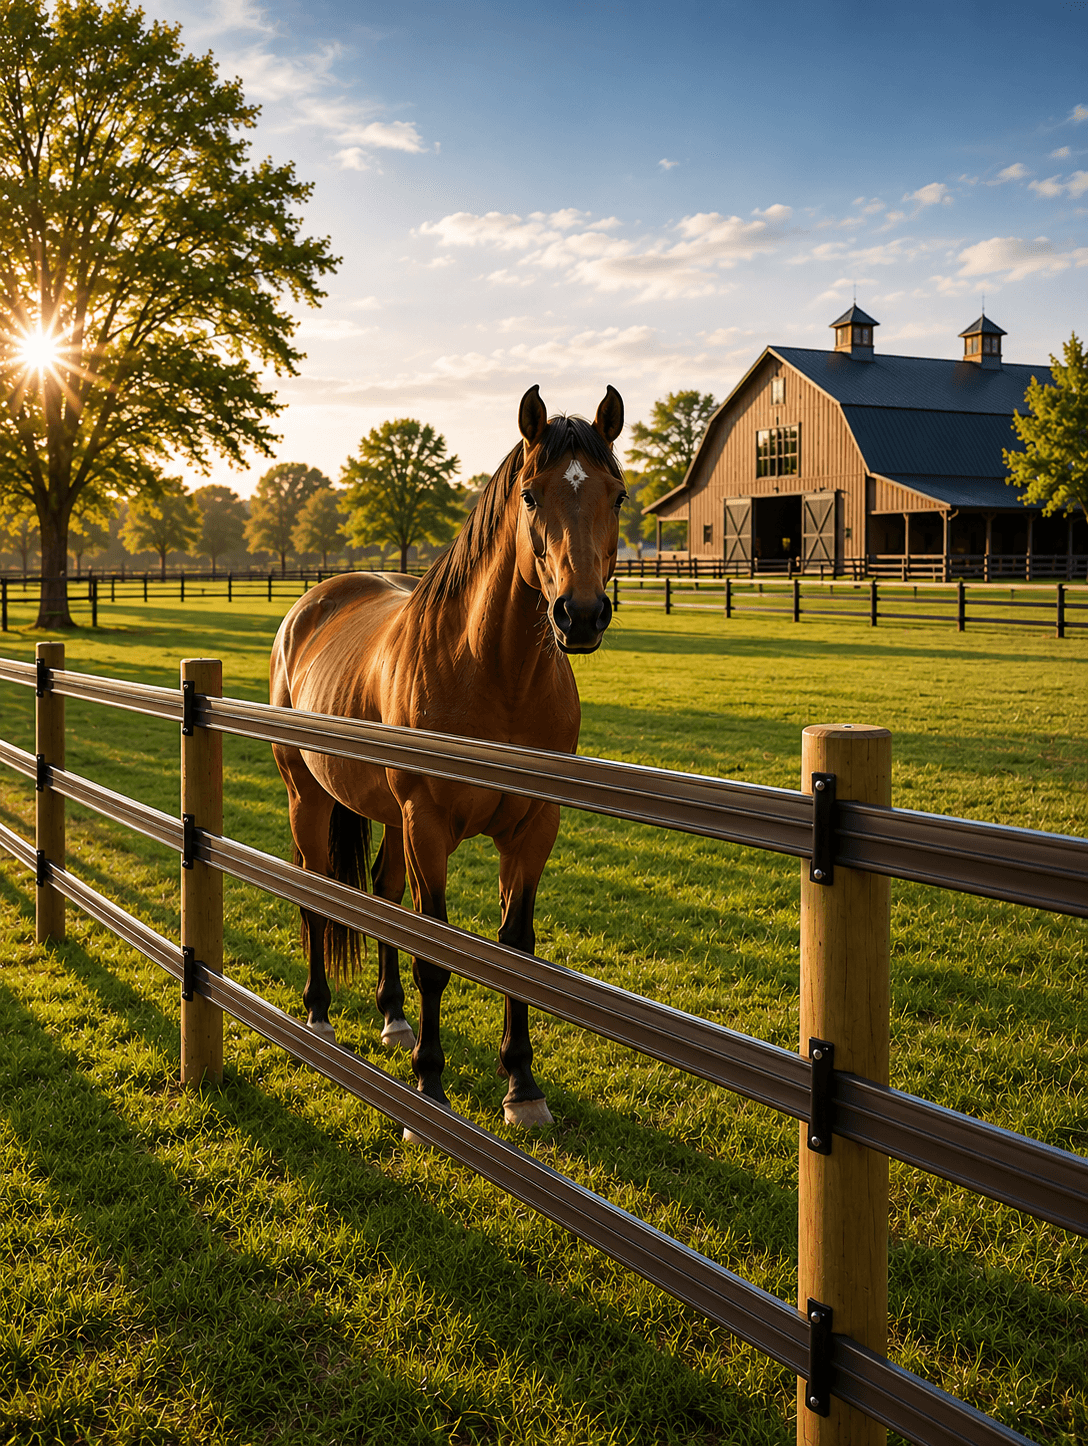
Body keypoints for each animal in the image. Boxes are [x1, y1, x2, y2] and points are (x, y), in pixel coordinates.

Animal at [269, 384, 626, 1129]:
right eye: (530, 493)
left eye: (619, 494)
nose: (579, 615)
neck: (495, 676)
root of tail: (311, 604)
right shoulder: (427, 825)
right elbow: (434, 952)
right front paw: (428, 1089)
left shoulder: (533, 827)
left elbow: (516, 949)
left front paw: (522, 1087)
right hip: (307, 798)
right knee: (316, 896)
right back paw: (320, 1016)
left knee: (381, 894)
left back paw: (394, 1019)